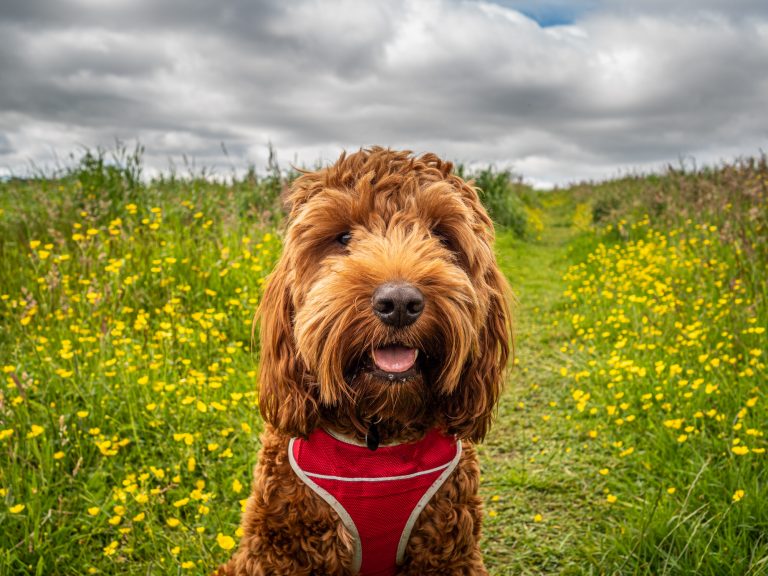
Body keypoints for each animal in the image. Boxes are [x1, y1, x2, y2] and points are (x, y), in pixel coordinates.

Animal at [218, 148, 510, 576]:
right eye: (343, 238)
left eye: (441, 236)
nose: (399, 303)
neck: (376, 436)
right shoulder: (278, 551)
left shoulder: (449, 553)